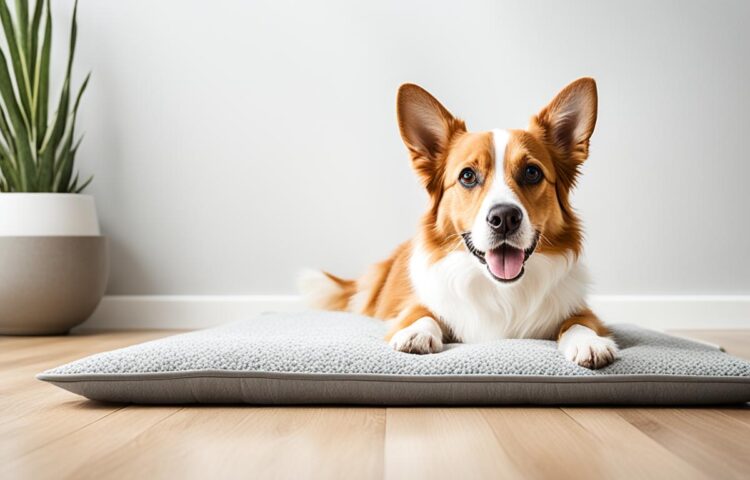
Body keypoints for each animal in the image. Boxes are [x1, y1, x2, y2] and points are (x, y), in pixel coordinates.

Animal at [302, 79, 620, 370]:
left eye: (532, 172)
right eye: (467, 176)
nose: (505, 218)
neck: (501, 291)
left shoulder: (581, 309)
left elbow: (579, 322)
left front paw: (589, 342)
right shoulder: (414, 305)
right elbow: (421, 313)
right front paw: (416, 334)